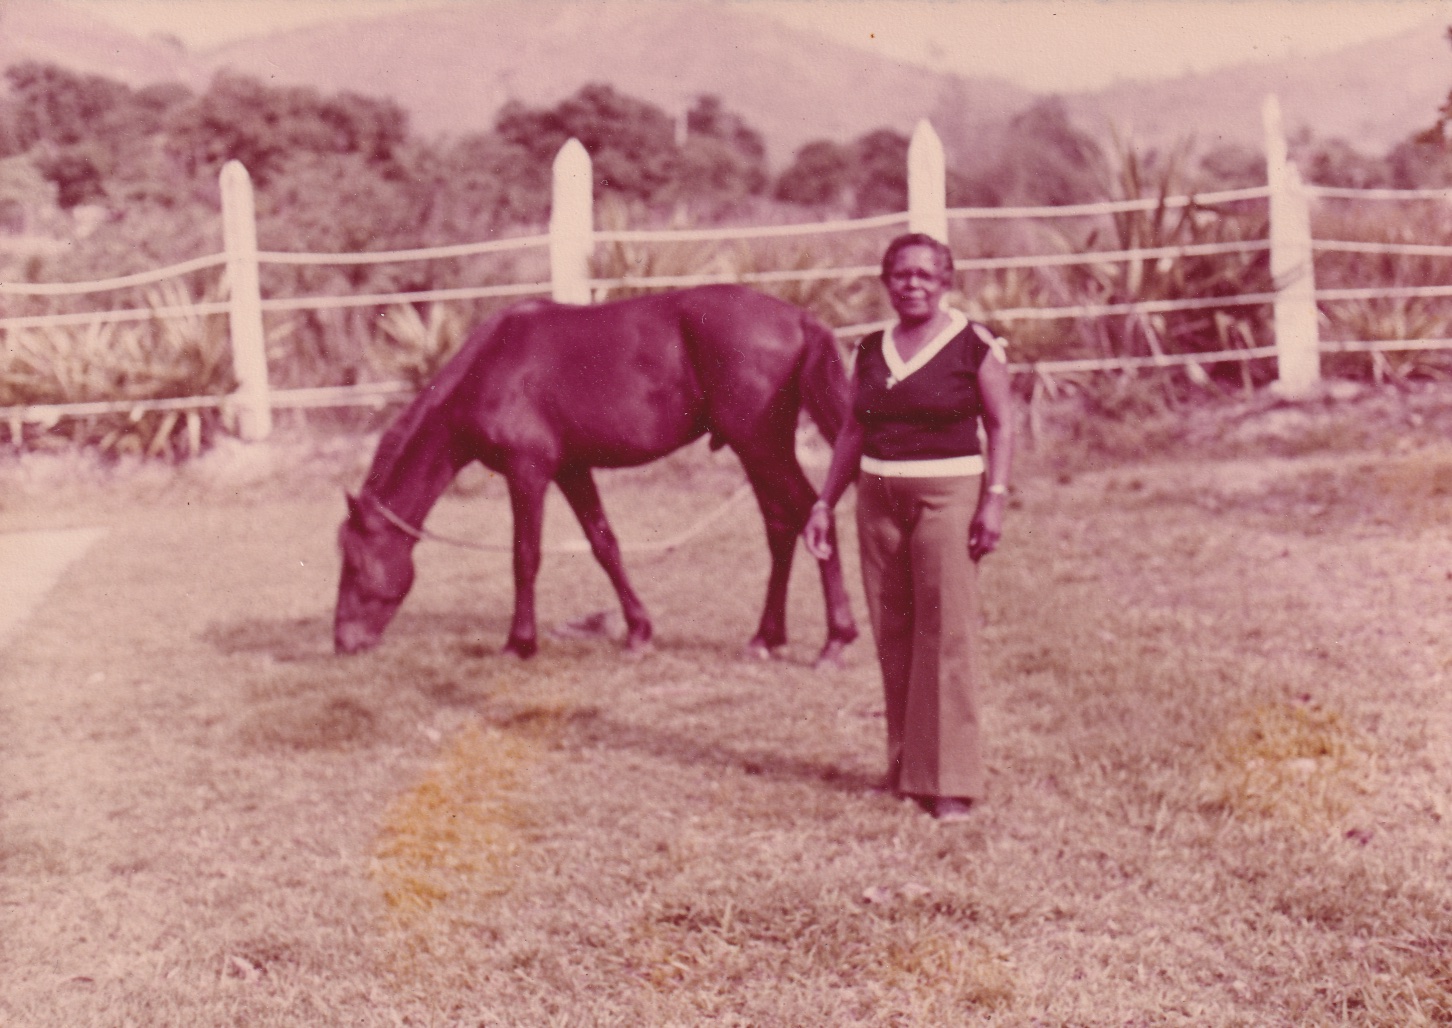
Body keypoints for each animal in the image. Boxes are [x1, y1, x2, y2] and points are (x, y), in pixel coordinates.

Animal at [333, 284, 859, 666]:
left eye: (355, 563)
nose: (343, 642)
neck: (494, 367)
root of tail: (799, 318)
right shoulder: (572, 470)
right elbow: (605, 545)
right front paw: (639, 631)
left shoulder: (528, 474)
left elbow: (525, 557)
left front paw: (519, 643)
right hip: (760, 451)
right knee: (781, 528)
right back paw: (766, 637)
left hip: (760, 447)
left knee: (814, 518)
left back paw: (836, 638)